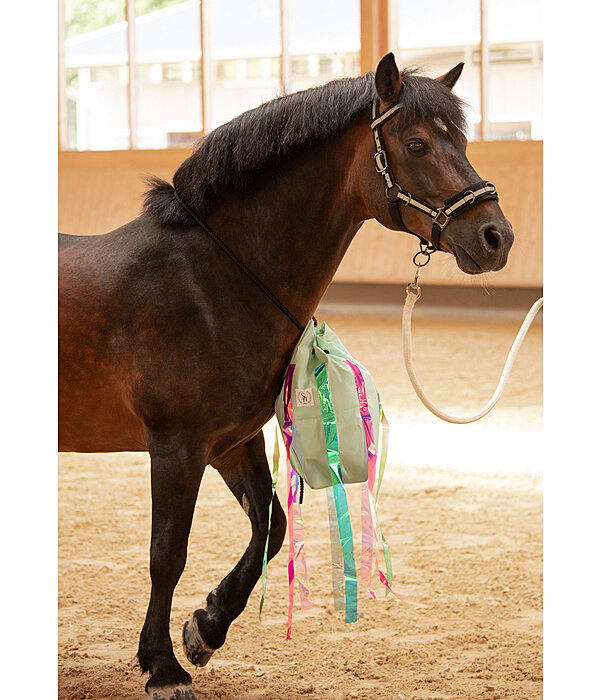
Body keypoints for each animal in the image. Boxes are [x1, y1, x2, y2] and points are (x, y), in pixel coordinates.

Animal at [59, 52, 510, 696]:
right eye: (417, 143)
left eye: (463, 141)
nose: (497, 237)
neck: (210, 278)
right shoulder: (176, 446)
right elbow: (166, 552)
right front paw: (163, 665)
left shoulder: (231, 441)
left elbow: (268, 530)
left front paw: (206, 627)